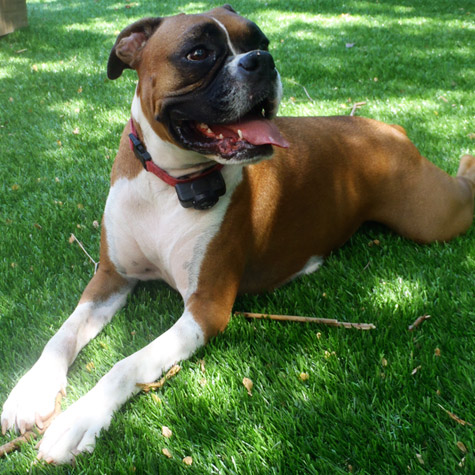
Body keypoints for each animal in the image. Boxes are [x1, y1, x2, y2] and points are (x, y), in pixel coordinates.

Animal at [1, 4, 474, 464]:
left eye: (262, 42)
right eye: (198, 53)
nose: (262, 60)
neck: (167, 183)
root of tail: (386, 127)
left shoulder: (204, 310)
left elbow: (127, 365)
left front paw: (79, 418)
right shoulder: (110, 278)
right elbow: (62, 334)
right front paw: (31, 389)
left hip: (434, 218)